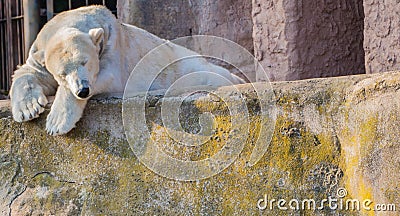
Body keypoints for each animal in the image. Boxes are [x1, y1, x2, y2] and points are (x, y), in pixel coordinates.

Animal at [10, 5, 244, 135]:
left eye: (85, 62)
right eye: (62, 74)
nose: (83, 90)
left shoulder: (112, 44)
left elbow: (108, 76)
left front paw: (56, 123)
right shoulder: (38, 51)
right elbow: (28, 72)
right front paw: (28, 108)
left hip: (184, 63)